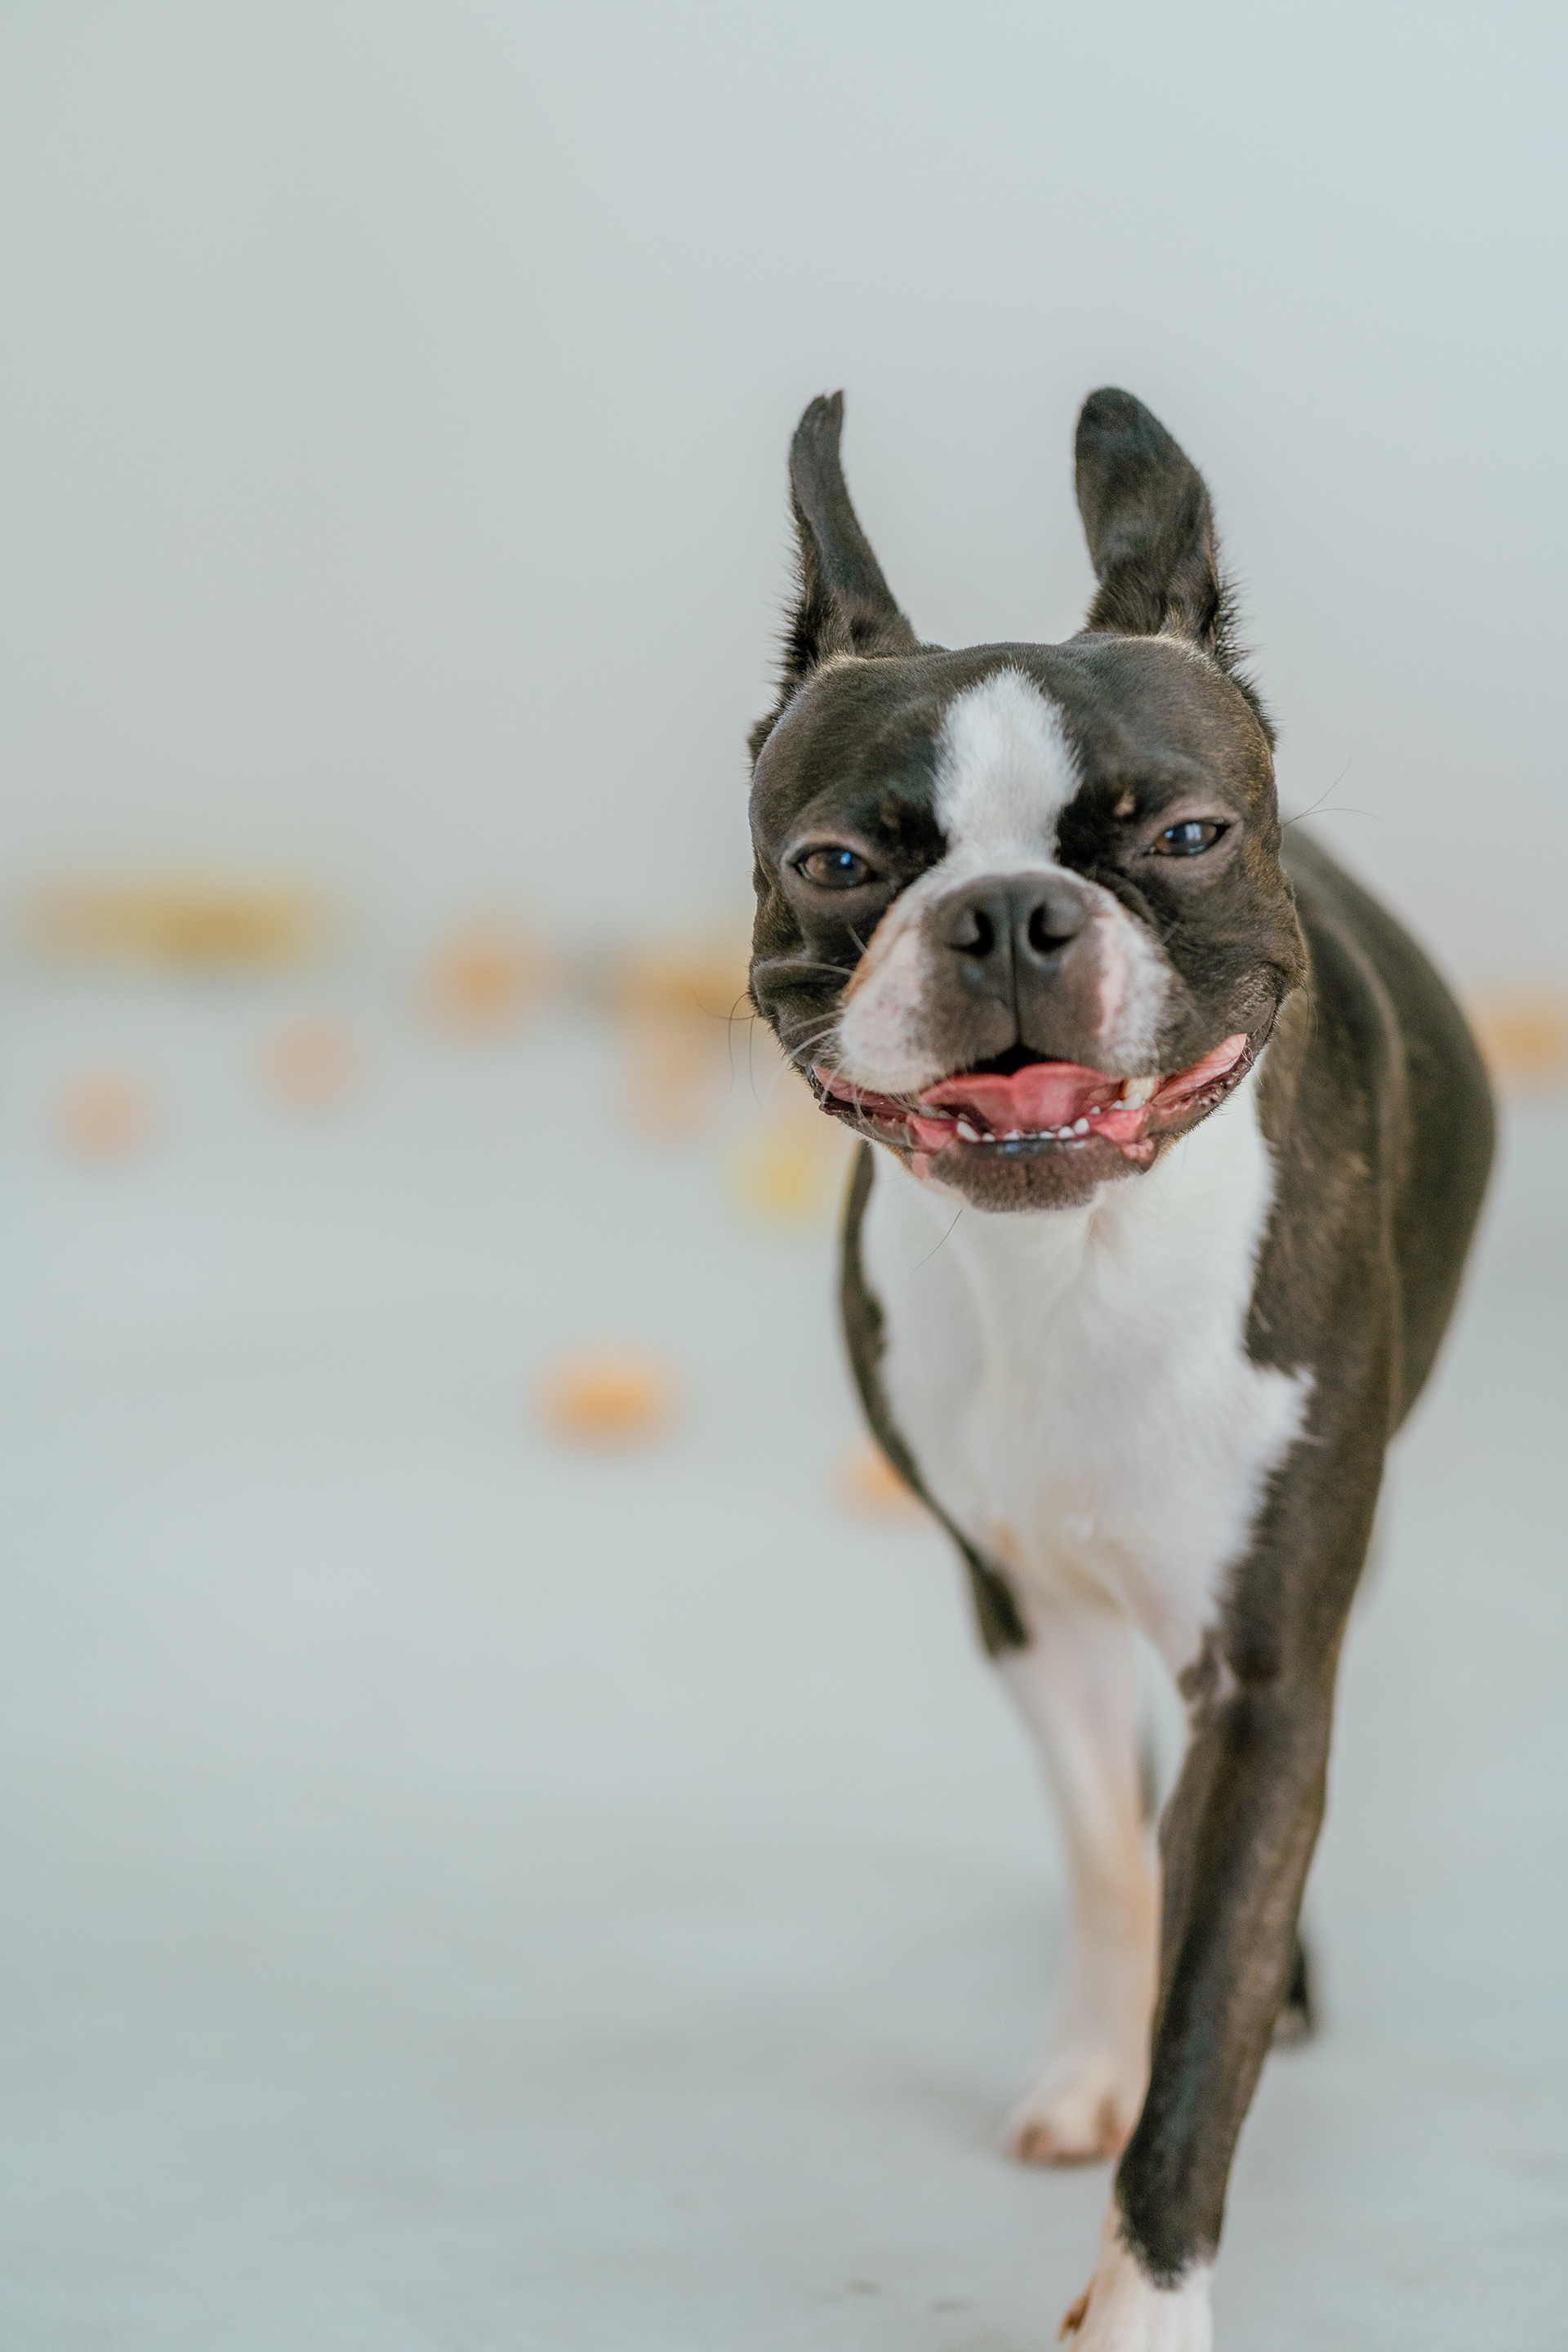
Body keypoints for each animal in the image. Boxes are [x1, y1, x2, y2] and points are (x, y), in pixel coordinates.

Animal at [746, 388, 1493, 2348]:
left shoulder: (1269, 1674)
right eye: (837, 865)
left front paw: (1147, 2304)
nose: (1010, 912)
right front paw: (1098, 2054)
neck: (1069, 1258)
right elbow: (1107, 1853)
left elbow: (1206, 2033)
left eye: (1188, 835)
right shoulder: (1024, 1604)